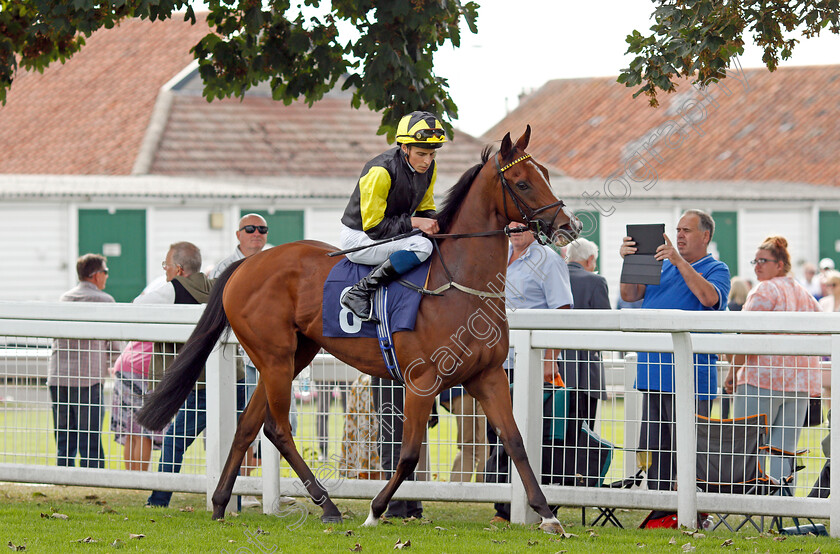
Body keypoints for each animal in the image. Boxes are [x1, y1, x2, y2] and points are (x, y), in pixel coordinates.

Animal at [138, 125, 580, 532]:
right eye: (522, 182)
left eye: (545, 174)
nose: (569, 225)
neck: (457, 283)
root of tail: (246, 264)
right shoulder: (422, 379)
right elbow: (408, 454)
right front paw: (376, 510)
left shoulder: (487, 375)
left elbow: (517, 442)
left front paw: (546, 515)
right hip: (275, 357)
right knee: (277, 429)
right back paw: (328, 505)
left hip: (291, 356)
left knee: (248, 425)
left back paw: (219, 503)